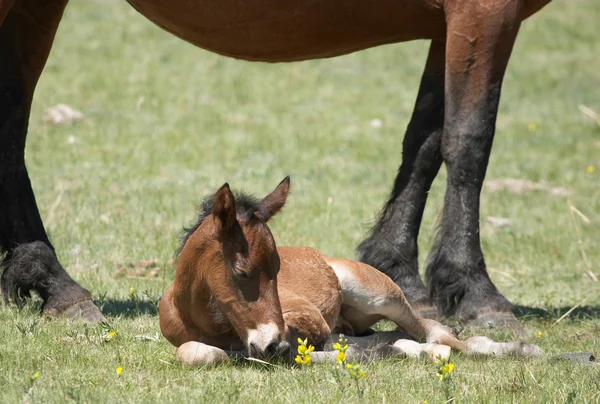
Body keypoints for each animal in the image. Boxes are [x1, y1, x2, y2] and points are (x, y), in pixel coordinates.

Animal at [0, 0, 552, 326]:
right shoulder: (484, 13)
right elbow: (469, 139)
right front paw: (476, 290)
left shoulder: (445, 24)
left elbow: (425, 139)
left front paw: (401, 270)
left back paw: (49, 281)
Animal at [158, 178, 540, 364]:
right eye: (241, 270)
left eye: (278, 270)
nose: (271, 344)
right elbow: (195, 353)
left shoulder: (307, 321)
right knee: (390, 336)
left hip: (379, 294)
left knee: (434, 330)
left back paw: (516, 350)